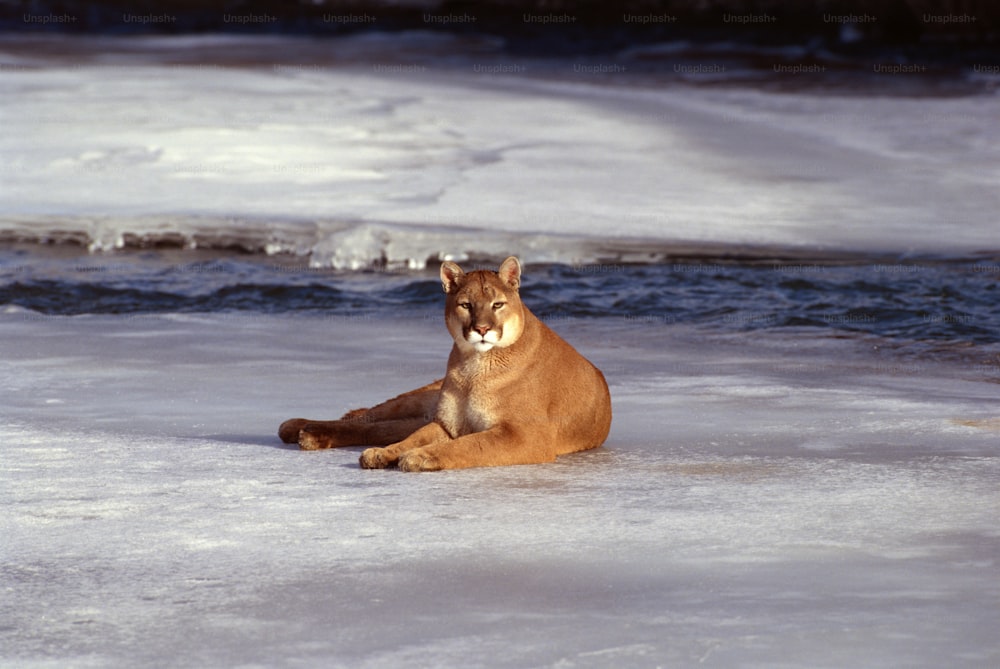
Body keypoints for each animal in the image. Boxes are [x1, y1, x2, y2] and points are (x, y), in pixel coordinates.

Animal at [278, 256, 612, 470]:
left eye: (497, 304)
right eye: (466, 305)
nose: (481, 329)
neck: (474, 365)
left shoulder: (526, 435)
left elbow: (471, 445)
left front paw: (420, 457)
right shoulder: (447, 422)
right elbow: (417, 440)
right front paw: (390, 455)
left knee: (378, 426)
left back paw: (306, 433)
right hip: (418, 400)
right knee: (367, 418)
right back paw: (298, 427)